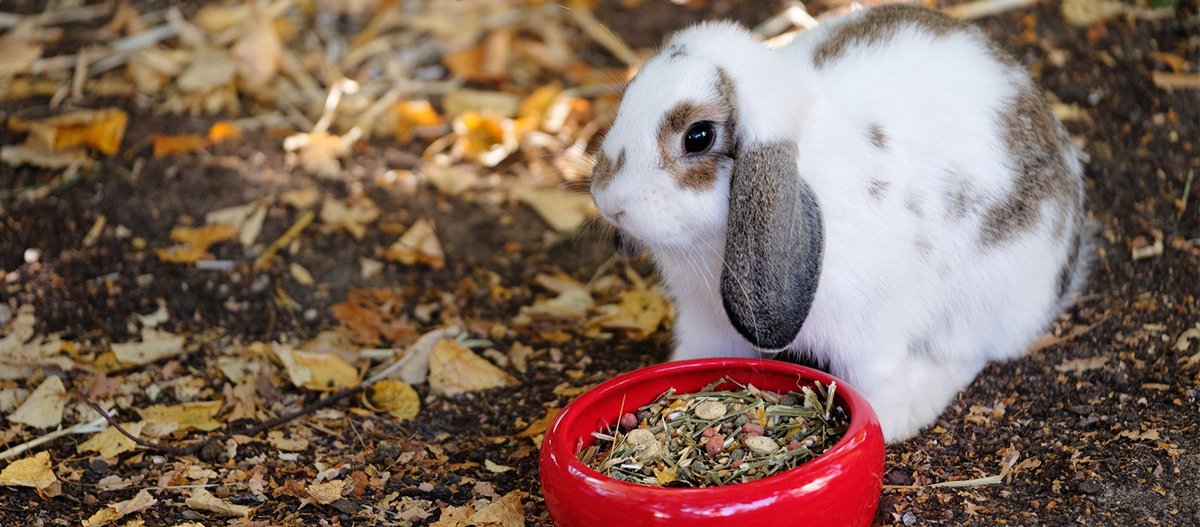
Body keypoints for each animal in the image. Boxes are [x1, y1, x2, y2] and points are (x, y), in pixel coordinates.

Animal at [589, 5, 1089, 443]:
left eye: (698, 136)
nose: (609, 201)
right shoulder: (705, 323)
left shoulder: (870, 333)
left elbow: (877, 379)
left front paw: (886, 426)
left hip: (983, 299)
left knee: (966, 355)